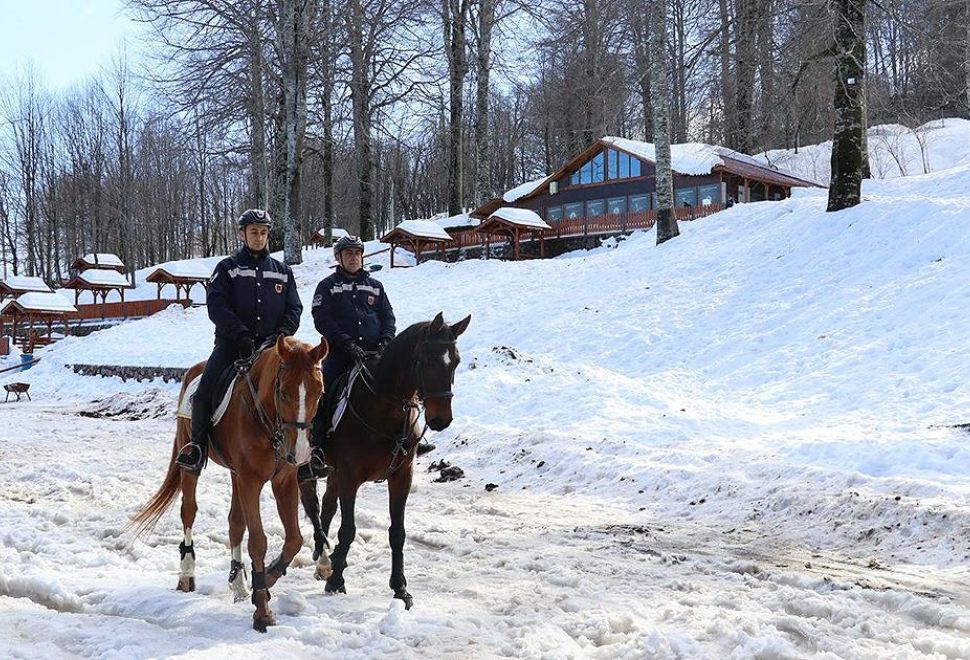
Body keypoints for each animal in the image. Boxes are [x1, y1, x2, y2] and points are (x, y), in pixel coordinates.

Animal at [130, 338, 328, 632]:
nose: (301, 452)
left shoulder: (283, 480)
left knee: (235, 523)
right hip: (192, 461)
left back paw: (239, 583)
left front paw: (268, 576)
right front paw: (262, 611)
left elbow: (294, 538)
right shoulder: (250, 480)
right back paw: (187, 573)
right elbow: (258, 541)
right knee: (189, 511)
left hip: (237, 475)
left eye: (319, 392)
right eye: (283, 392)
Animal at [298, 312, 472, 612]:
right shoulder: (350, 476)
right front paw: (336, 580)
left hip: (333, 473)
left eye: (456, 361)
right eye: (428, 360)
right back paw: (323, 556)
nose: (441, 419)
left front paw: (400, 588)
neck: (383, 406)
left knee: (327, 507)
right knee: (312, 504)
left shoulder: (401, 476)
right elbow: (348, 529)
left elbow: (397, 532)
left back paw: (326, 558)